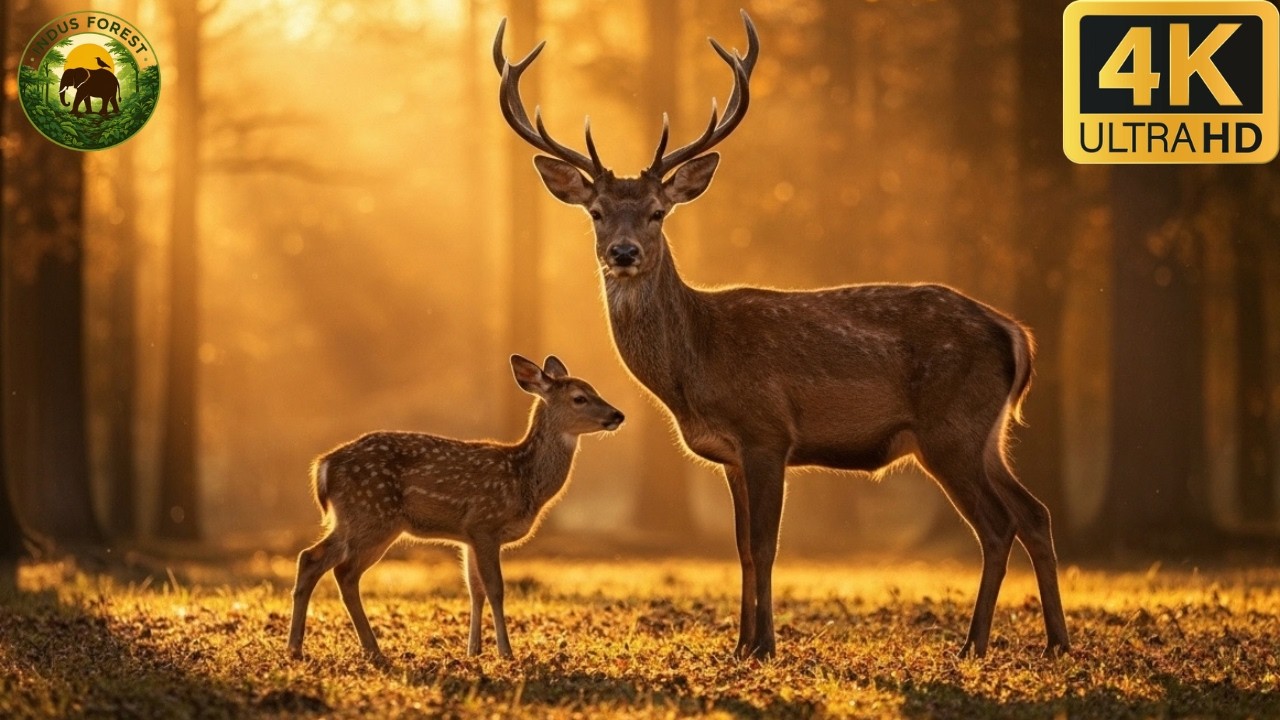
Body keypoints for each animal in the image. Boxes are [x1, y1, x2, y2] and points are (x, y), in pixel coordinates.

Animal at [287, 355, 625, 661]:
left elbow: (474, 589)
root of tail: (324, 466)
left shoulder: (468, 536)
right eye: (579, 397)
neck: (524, 479)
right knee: (344, 571)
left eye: (593, 389)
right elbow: (495, 588)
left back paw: (296, 648)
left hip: (352, 519)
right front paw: (506, 652)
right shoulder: (485, 523)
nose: (618, 414)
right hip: (373, 515)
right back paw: (372, 650)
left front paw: (473, 651)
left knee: (310, 558)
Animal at [492, 11, 1070, 661]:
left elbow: (766, 545)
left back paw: (974, 643)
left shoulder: (768, 433)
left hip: (952, 429)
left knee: (998, 525)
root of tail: (1015, 334)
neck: (696, 367)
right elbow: (742, 547)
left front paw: (765, 644)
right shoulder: (729, 454)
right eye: (596, 212)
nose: (623, 253)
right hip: (986, 435)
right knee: (1035, 513)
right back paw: (1055, 641)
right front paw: (742, 644)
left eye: (657, 213)